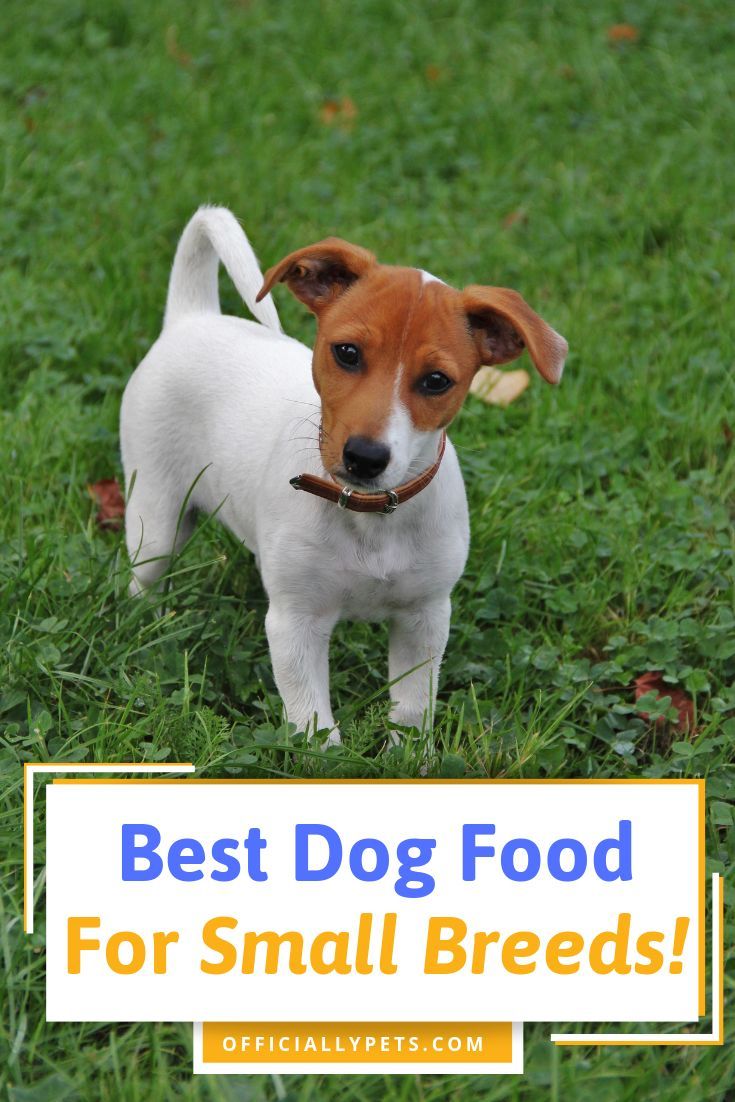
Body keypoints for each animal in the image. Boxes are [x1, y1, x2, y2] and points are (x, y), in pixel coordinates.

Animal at [122, 204, 568, 749]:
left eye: (436, 381)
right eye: (347, 353)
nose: (365, 457)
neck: (368, 512)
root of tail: (193, 317)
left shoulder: (424, 619)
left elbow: (412, 713)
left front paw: (409, 758)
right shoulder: (296, 625)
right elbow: (315, 728)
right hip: (154, 517)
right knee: (144, 580)